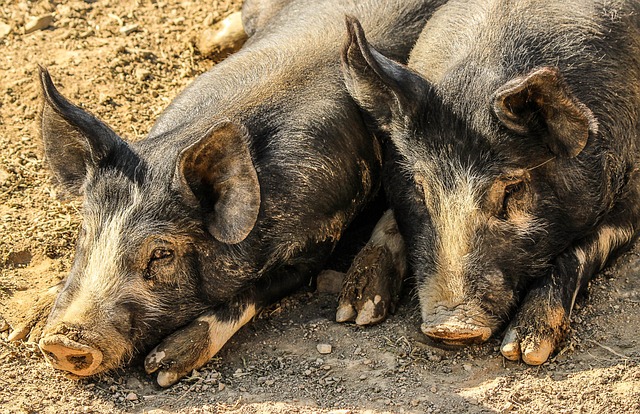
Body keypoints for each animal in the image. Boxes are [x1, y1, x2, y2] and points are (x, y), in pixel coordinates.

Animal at [7, 0, 448, 388]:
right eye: (84, 232)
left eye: (162, 254)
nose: (61, 342)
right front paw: (27, 327)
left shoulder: (317, 239)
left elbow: (249, 296)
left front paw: (162, 367)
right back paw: (206, 39)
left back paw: (359, 309)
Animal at [342, 0, 640, 364]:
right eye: (421, 188)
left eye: (511, 189)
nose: (452, 327)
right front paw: (355, 311)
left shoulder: (633, 192)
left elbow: (581, 249)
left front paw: (525, 350)